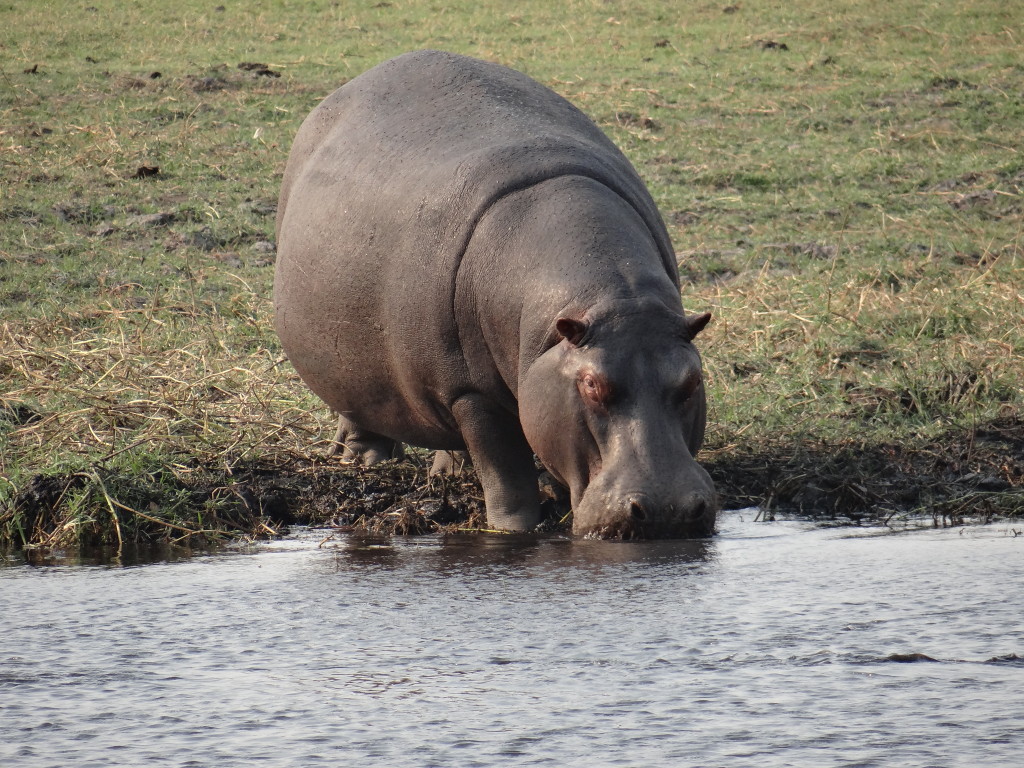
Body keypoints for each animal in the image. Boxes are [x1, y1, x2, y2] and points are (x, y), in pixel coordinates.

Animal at [274, 50, 717, 538]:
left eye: (693, 381)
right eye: (592, 385)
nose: (664, 511)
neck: (611, 300)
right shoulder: (469, 394)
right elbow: (506, 473)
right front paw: (513, 532)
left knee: (449, 441)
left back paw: (447, 473)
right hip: (364, 365)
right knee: (359, 406)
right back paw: (362, 460)